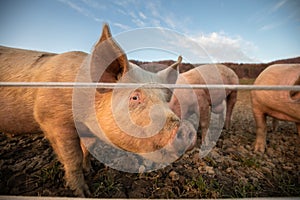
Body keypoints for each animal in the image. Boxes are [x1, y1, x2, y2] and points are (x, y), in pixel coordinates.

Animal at [0, 23, 196, 197]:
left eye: (165, 100)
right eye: (135, 97)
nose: (186, 128)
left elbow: (87, 149)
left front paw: (90, 169)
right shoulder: (53, 120)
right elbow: (73, 159)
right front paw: (83, 193)